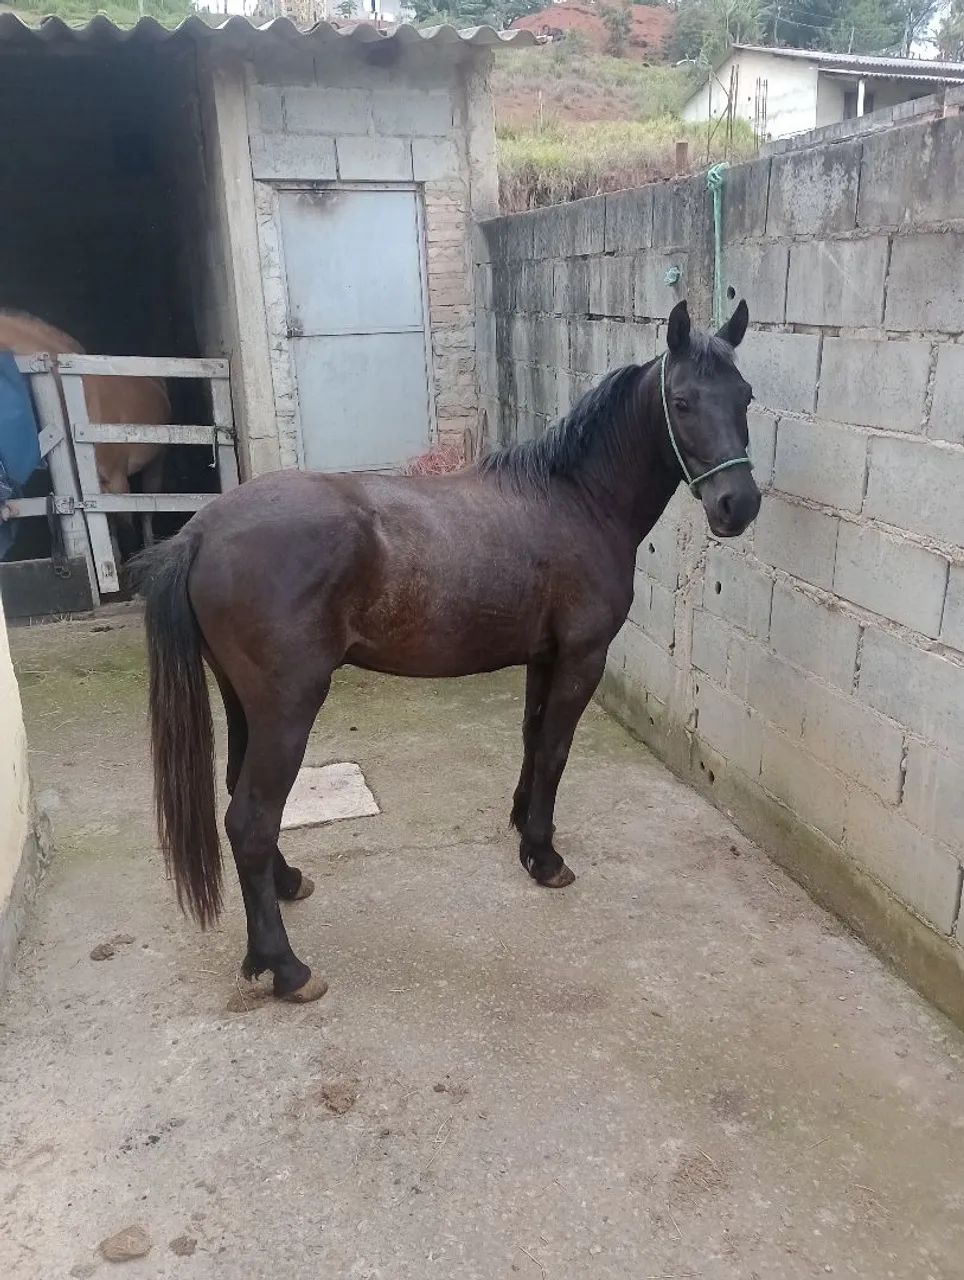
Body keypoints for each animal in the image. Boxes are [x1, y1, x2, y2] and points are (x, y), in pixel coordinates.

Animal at [134, 299, 761, 1006]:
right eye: (682, 401)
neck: (576, 500)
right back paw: (285, 966)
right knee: (251, 820)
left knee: (245, 803)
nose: (738, 505)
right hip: (288, 708)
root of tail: (201, 530)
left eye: (744, 395)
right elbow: (556, 749)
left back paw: (288, 885)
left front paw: (522, 826)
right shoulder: (582, 657)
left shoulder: (544, 657)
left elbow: (532, 737)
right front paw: (545, 857)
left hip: (244, 704)